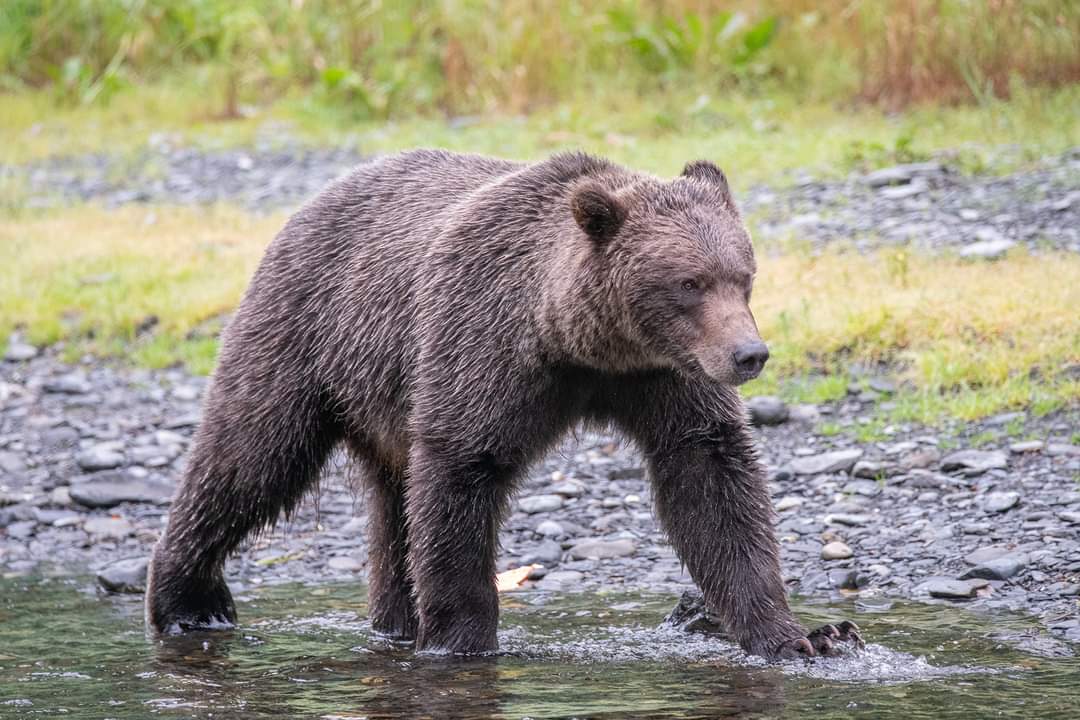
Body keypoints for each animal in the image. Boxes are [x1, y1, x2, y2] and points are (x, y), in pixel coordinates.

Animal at [145, 149, 862, 659]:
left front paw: (800, 635)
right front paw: (462, 641)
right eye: (689, 283)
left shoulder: (664, 378)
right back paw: (189, 601)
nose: (749, 354)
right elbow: (462, 473)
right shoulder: (484, 348)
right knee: (251, 455)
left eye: (744, 276)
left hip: (385, 399)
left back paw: (393, 622)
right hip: (303, 336)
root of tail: (311, 202)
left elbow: (712, 481)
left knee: (391, 506)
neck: (582, 343)